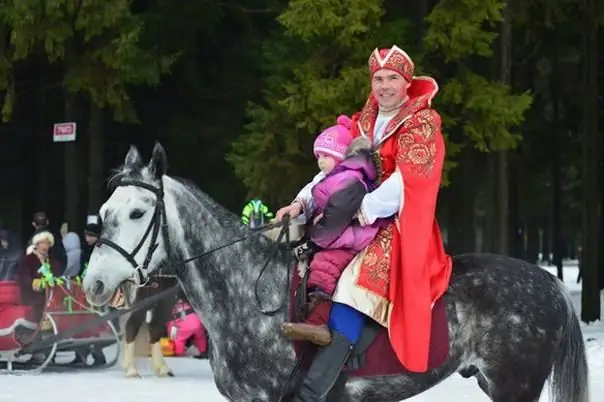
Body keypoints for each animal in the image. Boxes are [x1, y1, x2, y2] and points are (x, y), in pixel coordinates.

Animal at [82, 143, 588, 400]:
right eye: (104, 212)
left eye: (138, 213)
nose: (94, 283)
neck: (249, 297)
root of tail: (550, 282)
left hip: (513, 386)